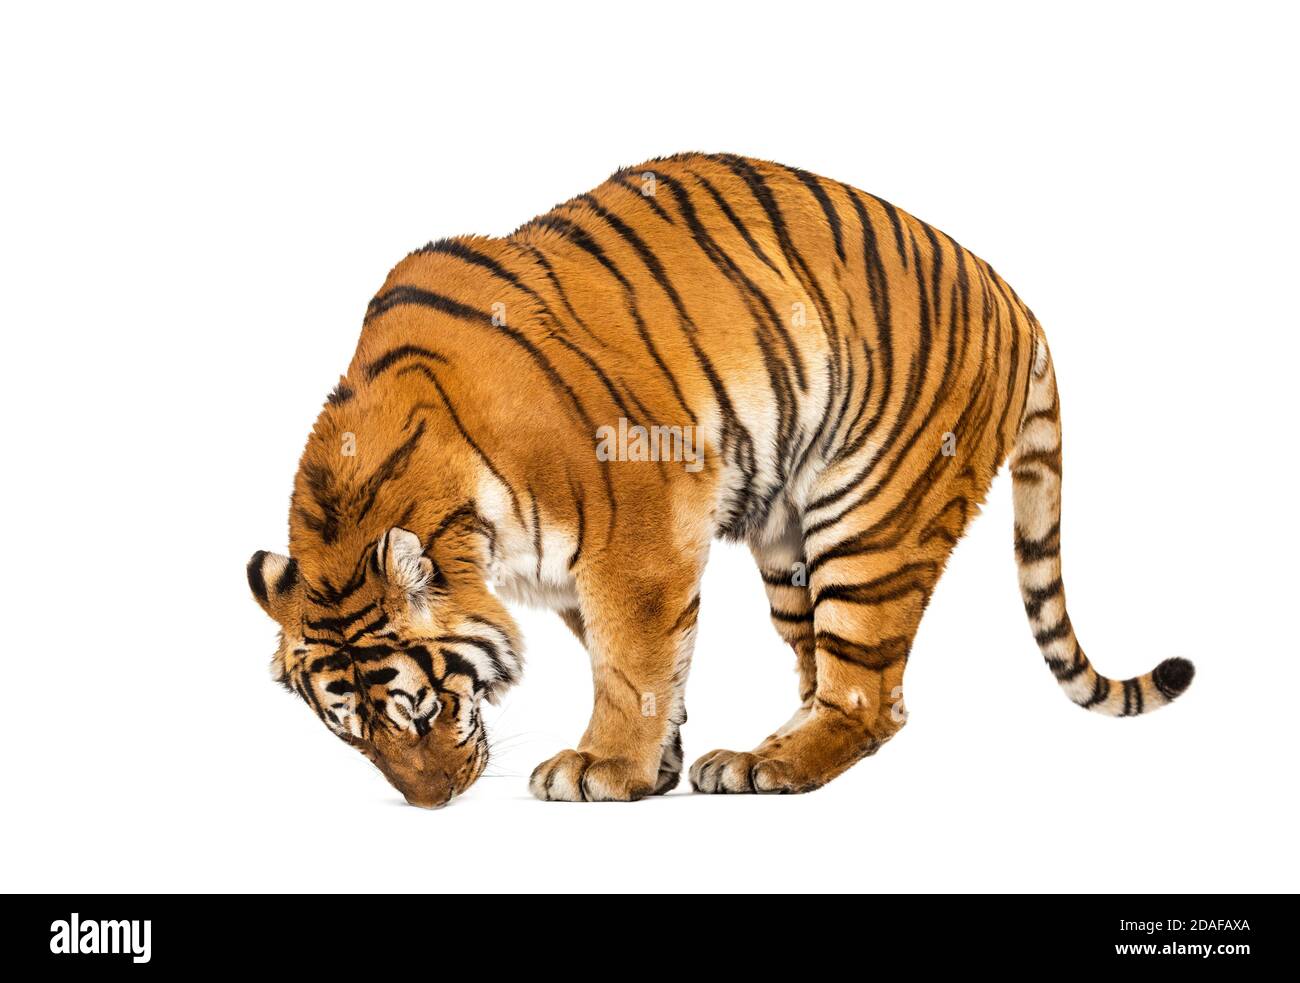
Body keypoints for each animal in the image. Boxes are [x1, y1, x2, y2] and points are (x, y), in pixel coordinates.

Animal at [247, 152, 1194, 807]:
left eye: (418, 707)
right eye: (349, 733)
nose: (433, 803)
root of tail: (1019, 303)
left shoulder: (639, 527)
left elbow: (632, 661)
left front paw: (605, 766)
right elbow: (641, 660)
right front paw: (655, 762)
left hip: (874, 517)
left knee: (870, 694)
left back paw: (775, 764)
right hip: (790, 544)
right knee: (822, 671)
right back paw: (752, 753)